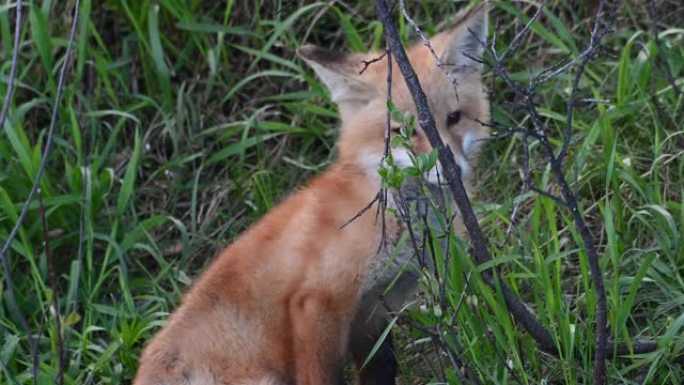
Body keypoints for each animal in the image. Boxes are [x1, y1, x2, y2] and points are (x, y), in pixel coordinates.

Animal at [134, 5, 486, 384]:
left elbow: (380, 369)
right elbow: (323, 375)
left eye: (454, 118)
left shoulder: (373, 312)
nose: (451, 168)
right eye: (399, 131)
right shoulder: (316, 301)